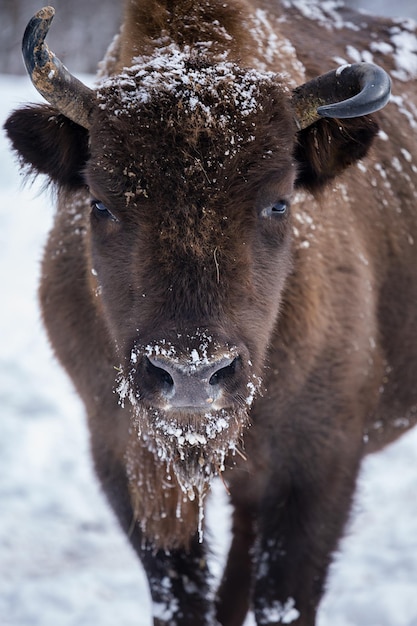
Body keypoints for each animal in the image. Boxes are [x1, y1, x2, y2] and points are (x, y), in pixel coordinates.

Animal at [3, 1, 416, 624]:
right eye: (100, 203)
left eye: (279, 202)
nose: (192, 374)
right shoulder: (126, 460)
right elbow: (182, 592)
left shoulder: (320, 465)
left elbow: (284, 596)